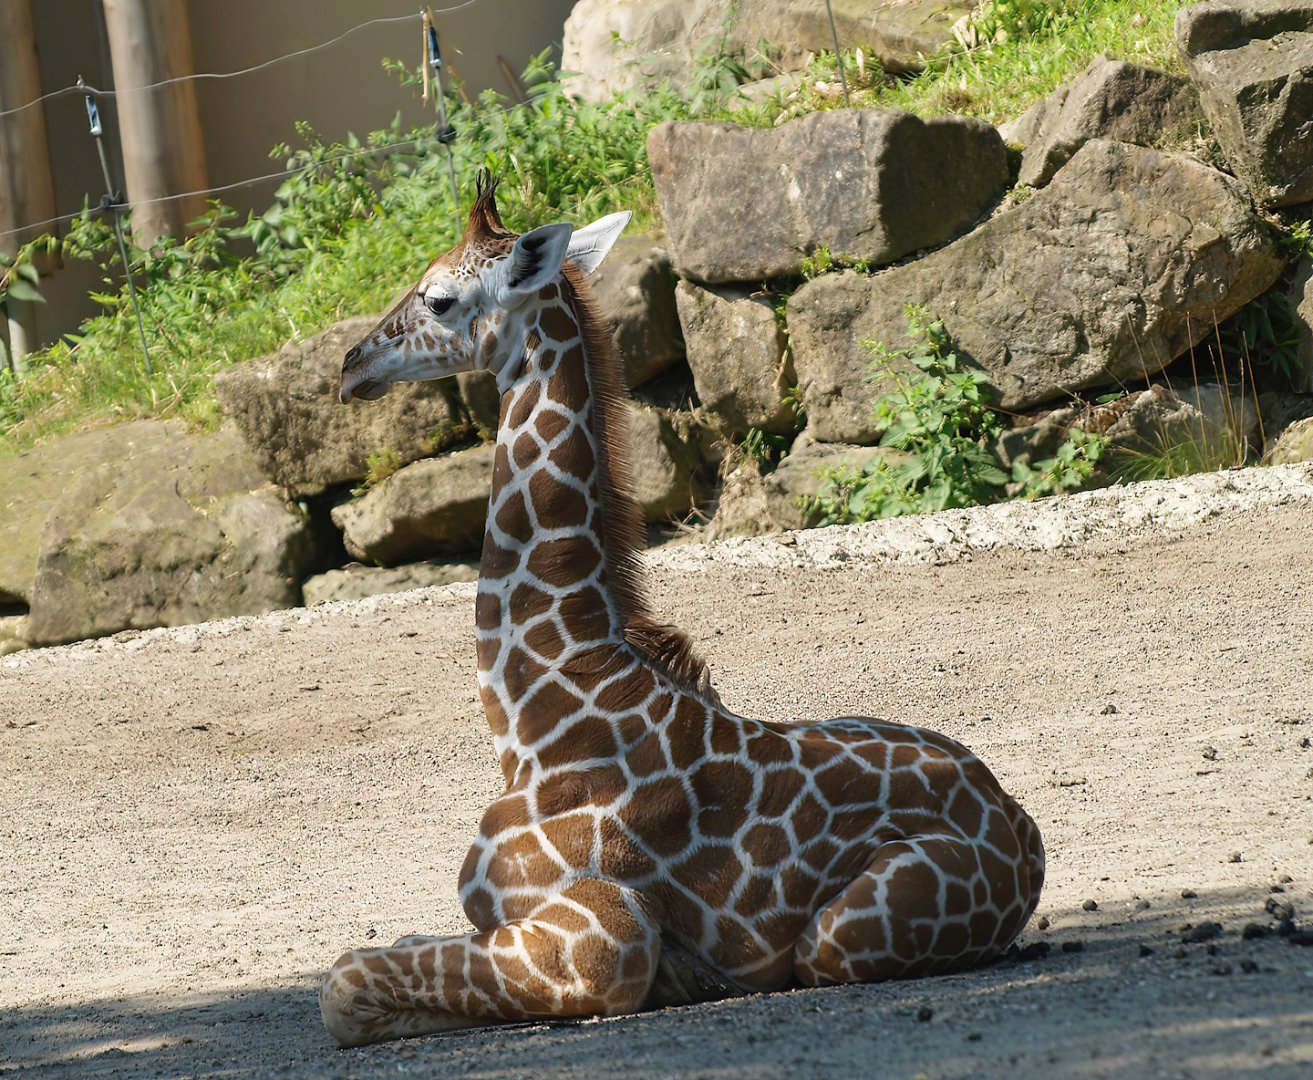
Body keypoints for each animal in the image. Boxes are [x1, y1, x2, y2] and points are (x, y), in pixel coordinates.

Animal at [322, 171, 1045, 1048]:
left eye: (438, 299)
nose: (352, 363)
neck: (536, 719)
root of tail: (1019, 829)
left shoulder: (602, 938)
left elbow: (342, 983)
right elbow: (387, 949)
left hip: (840, 938)